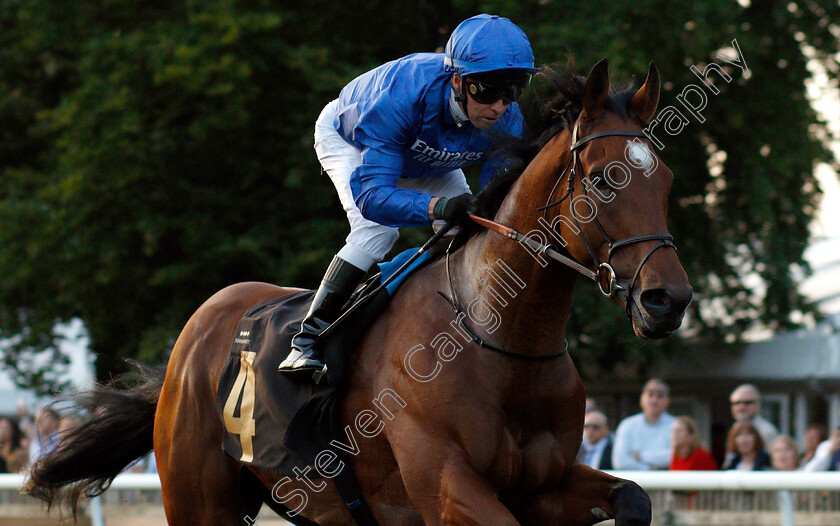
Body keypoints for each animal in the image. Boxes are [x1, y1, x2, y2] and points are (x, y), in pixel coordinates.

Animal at [29, 59, 692, 524]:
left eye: (666, 179)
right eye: (604, 179)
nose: (668, 300)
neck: (500, 337)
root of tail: (188, 345)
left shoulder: (544, 485)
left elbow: (635, 498)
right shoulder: (446, 486)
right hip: (199, 500)